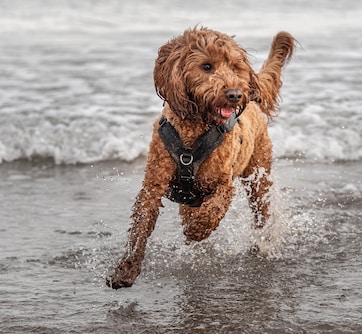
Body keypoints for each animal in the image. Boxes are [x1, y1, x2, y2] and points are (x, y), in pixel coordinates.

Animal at [107, 26, 294, 288]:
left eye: (234, 67)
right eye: (206, 66)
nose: (235, 94)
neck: (194, 128)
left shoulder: (223, 185)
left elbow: (212, 210)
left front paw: (197, 231)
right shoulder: (153, 184)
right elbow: (139, 228)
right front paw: (125, 270)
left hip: (258, 175)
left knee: (261, 211)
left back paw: (260, 243)